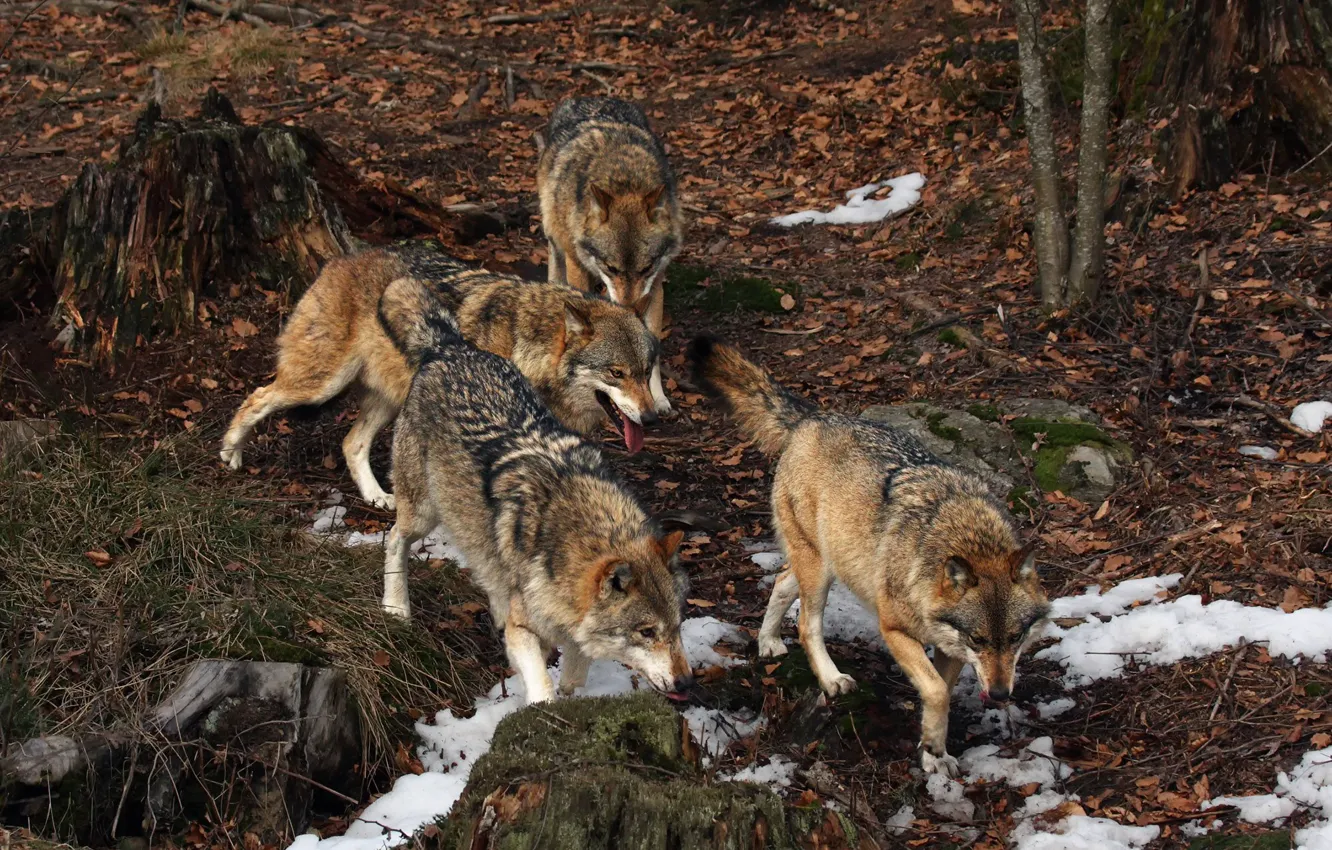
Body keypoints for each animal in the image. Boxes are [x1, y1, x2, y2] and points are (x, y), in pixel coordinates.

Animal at [220, 243, 668, 509]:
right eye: (616, 372)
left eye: (646, 372)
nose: (651, 418)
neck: (528, 349)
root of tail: (341, 258)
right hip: (319, 385)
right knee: (256, 396)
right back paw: (230, 454)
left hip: (388, 400)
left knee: (351, 443)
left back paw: (378, 496)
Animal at [382, 275, 693, 703]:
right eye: (646, 632)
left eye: (678, 626)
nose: (687, 684)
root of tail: (452, 348)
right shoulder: (525, 631)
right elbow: (543, 687)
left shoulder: (576, 637)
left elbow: (573, 680)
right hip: (422, 514)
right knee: (393, 537)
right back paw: (395, 608)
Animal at [538, 97, 682, 335]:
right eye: (611, 268)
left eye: (646, 269)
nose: (630, 309)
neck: (625, 179)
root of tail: (593, 98)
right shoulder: (576, 266)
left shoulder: (656, 279)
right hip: (554, 235)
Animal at [687, 335, 1049, 775]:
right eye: (978, 639)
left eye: (1015, 638)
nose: (999, 695)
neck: (963, 536)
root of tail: (814, 417)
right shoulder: (894, 630)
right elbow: (936, 691)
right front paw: (932, 747)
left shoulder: (948, 648)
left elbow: (940, 694)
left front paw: (934, 752)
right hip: (821, 571)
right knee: (807, 625)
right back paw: (831, 679)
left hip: (821, 560)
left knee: (781, 581)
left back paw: (768, 642)